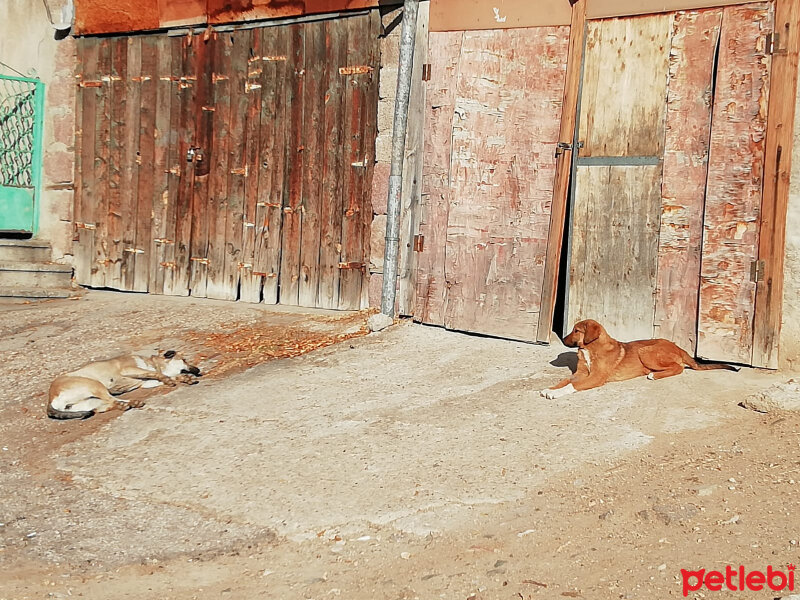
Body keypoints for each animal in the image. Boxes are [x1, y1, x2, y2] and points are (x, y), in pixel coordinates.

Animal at [48, 350, 200, 420]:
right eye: (184, 359)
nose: (198, 370)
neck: (153, 364)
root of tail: (51, 399)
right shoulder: (130, 369)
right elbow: (158, 374)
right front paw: (172, 378)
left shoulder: (145, 382)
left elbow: (164, 376)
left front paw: (183, 378)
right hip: (94, 385)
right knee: (111, 398)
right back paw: (131, 402)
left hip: (88, 403)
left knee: (106, 405)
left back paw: (127, 404)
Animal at [540, 318, 740, 398]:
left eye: (576, 330)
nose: (562, 339)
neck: (589, 348)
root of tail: (678, 347)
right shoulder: (581, 373)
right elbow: (565, 380)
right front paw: (549, 389)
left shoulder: (596, 377)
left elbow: (572, 386)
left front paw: (555, 393)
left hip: (645, 351)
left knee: (679, 367)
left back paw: (654, 375)